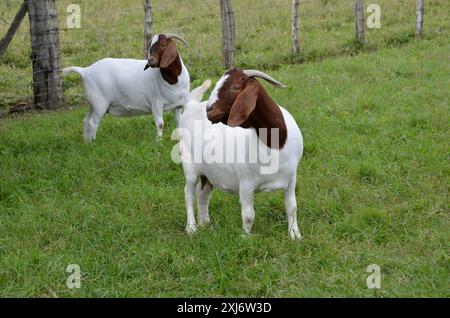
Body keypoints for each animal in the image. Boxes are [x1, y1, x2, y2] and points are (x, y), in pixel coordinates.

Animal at [178, 69, 302, 238]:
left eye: (236, 87)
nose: (209, 110)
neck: (276, 143)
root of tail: (191, 106)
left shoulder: (291, 178)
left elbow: (292, 207)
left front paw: (295, 234)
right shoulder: (246, 183)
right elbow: (249, 215)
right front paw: (246, 238)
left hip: (208, 172)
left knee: (202, 193)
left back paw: (205, 224)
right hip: (190, 166)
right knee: (189, 193)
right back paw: (192, 228)